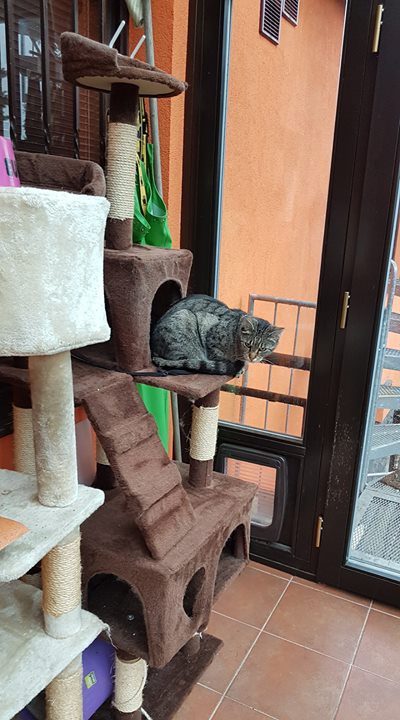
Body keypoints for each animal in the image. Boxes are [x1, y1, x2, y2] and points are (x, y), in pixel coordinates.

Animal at [151, 294, 283, 375]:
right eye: (247, 344)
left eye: (263, 349)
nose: (252, 357)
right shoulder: (210, 334)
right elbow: (218, 356)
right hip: (184, 320)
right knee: (183, 362)